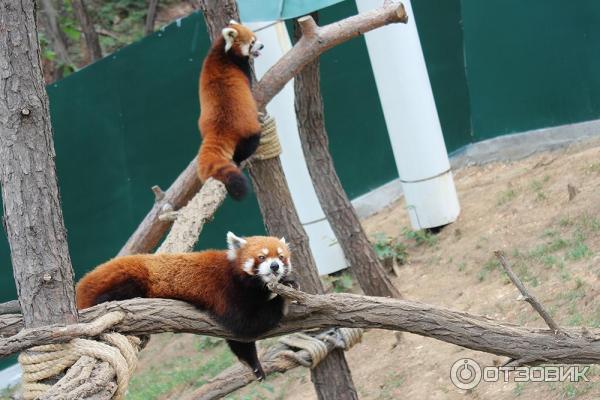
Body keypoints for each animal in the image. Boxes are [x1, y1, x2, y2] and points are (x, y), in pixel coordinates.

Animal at [75, 233, 296, 380]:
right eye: (262, 257)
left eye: (281, 256)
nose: (275, 266)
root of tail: (84, 282)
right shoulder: (226, 292)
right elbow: (245, 325)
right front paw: (283, 296)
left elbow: (239, 340)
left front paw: (254, 365)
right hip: (126, 280)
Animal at [198, 20, 264, 200]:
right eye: (253, 42)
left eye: (256, 38)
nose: (262, 46)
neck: (223, 52)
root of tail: (219, 127)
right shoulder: (241, 66)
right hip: (248, 128)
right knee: (250, 142)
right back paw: (239, 159)